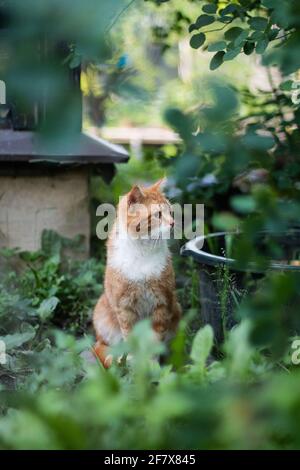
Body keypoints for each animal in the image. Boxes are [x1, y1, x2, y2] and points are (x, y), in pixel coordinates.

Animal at [94, 178, 182, 366]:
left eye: (170, 212)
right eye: (158, 215)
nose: (173, 223)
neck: (143, 249)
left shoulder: (162, 302)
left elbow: (156, 340)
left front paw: (152, 365)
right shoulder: (124, 307)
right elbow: (131, 338)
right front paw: (136, 363)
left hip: (176, 309)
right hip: (102, 314)